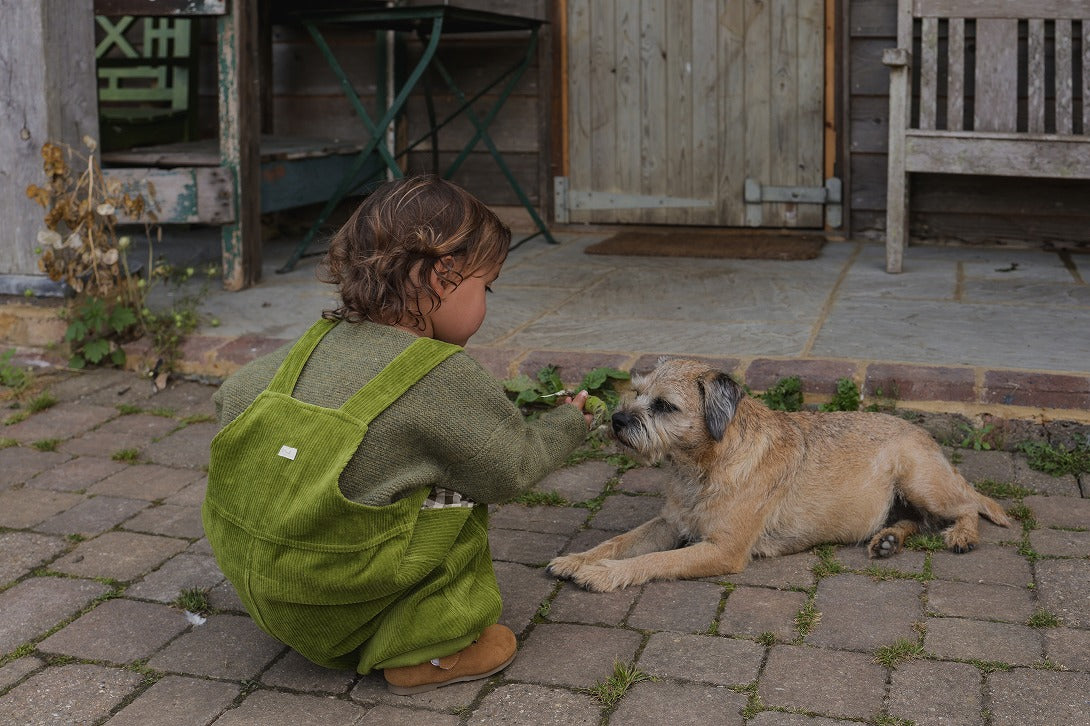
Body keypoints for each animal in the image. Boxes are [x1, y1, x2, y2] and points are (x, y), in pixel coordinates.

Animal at [549, 359, 1007, 593]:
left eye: (663, 405)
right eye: (638, 391)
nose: (616, 419)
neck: (703, 466)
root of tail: (927, 437)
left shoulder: (723, 550)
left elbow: (654, 560)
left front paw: (603, 574)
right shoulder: (669, 522)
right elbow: (619, 541)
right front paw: (578, 558)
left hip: (921, 481)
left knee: (967, 506)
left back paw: (962, 535)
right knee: (917, 520)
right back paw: (888, 540)